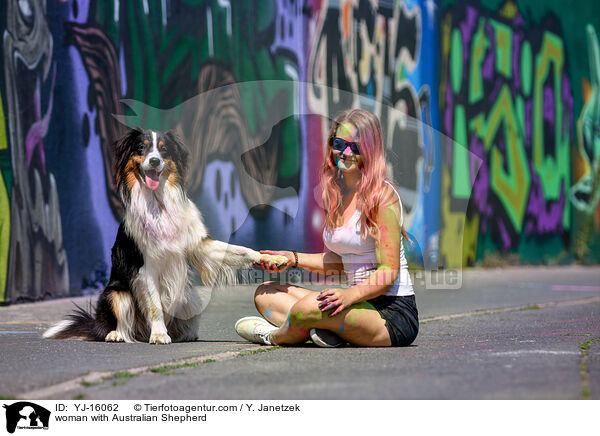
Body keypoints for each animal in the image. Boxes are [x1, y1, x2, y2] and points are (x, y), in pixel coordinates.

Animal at [43, 129, 288, 344]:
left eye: (164, 150)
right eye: (141, 147)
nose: (154, 161)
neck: (158, 203)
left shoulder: (199, 245)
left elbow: (241, 250)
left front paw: (272, 258)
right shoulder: (144, 268)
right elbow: (155, 306)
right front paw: (160, 334)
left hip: (190, 298)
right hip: (116, 292)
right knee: (121, 323)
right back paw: (117, 334)